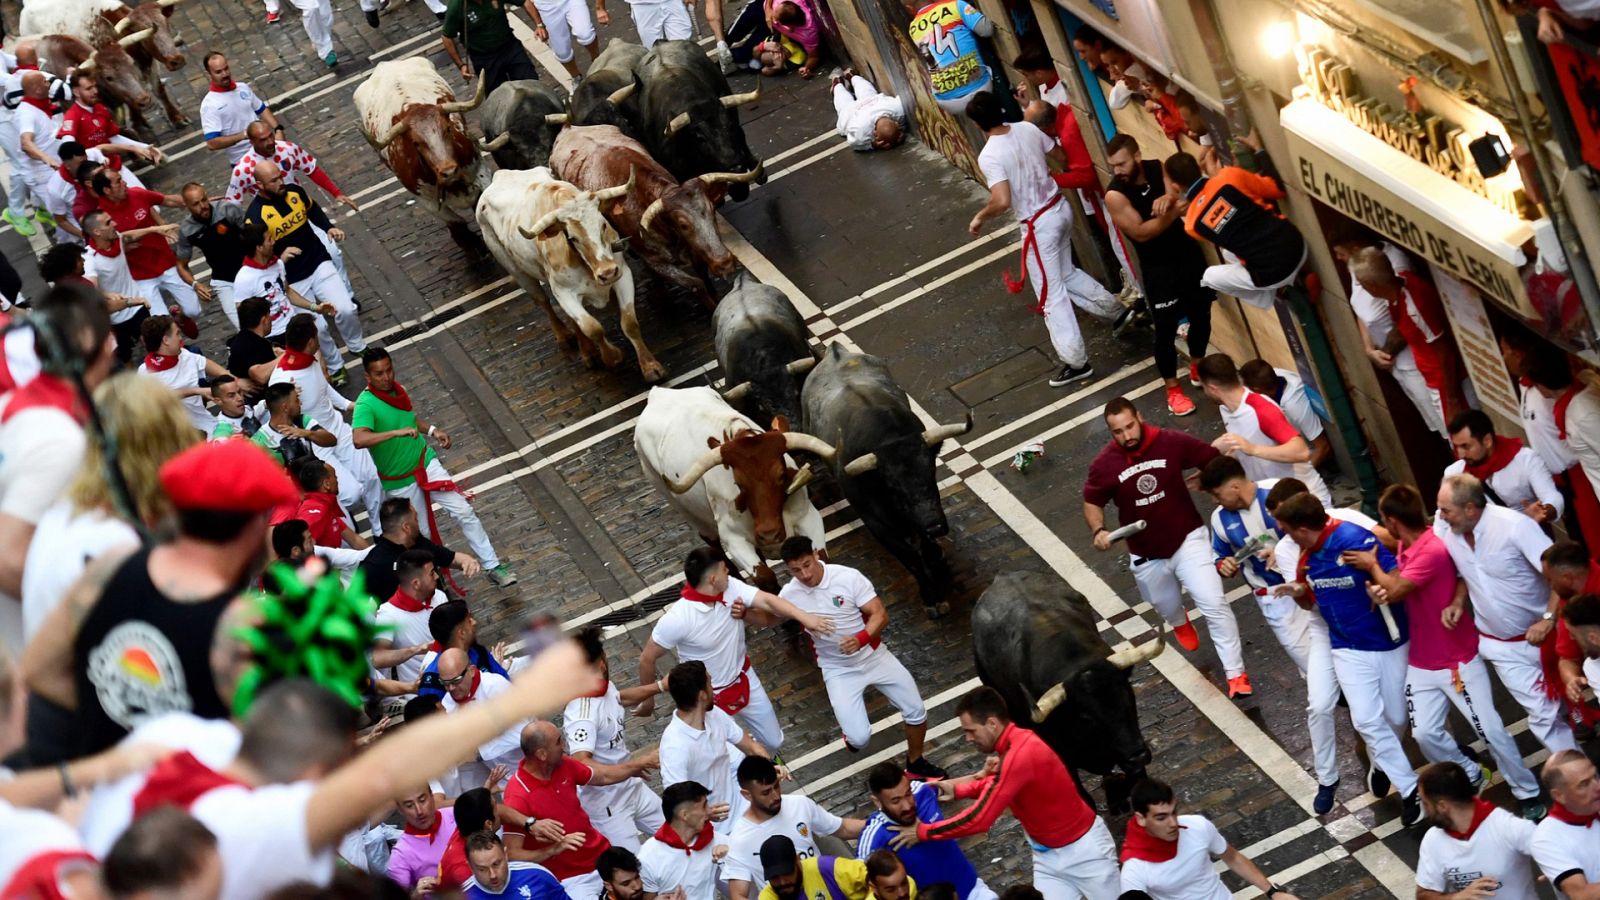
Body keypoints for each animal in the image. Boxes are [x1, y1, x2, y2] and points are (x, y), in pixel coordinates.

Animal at [553, 124, 758, 307]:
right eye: (683, 224)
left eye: (712, 211)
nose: (724, 262)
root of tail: (568, 128)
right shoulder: (656, 262)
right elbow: (696, 284)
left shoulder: (693, 249)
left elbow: (704, 277)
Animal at [636, 381, 838, 576]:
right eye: (739, 483)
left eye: (781, 476)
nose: (769, 535)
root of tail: (657, 392)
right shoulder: (734, 540)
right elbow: (765, 578)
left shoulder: (808, 517)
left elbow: (822, 561)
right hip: (690, 514)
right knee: (714, 548)